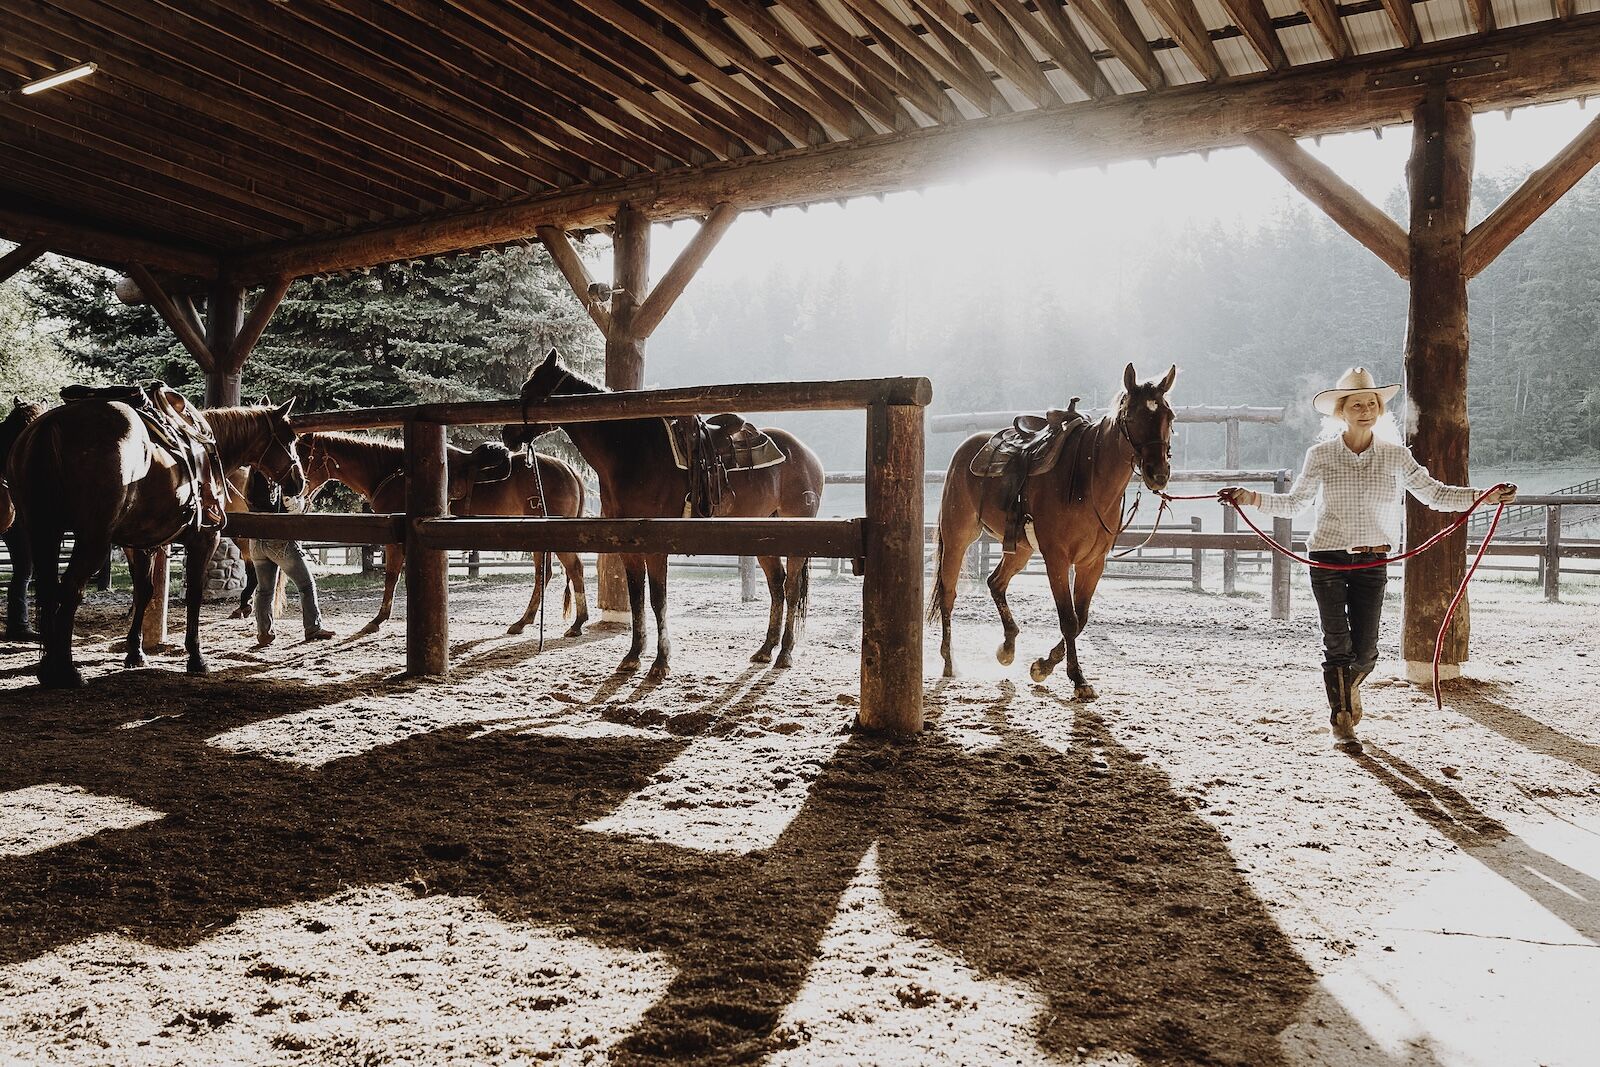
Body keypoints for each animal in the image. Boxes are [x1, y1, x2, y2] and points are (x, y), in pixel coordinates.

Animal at [8, 396, 305, 687]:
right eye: (290, 438)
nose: (299, 481)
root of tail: (53, 424)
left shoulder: (139, 544)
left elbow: (144, 591)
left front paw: (135, 652)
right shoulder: (204, 539)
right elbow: (194, 594)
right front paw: (196, 657)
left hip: (43, 530)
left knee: (49, 589)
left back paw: (48, 667)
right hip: (92, 540)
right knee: (70, 590)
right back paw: (66, 670)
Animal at [294, 431, 588, 633]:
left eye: (302, 456)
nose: (296, 489)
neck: (396, 473)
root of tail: (570, 471)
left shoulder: (395, 540)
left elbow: (391, 577)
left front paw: (378, 619)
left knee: (573, 569)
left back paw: (577, 622)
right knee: (544, 574)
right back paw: (524, 621)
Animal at [499, 351, 825, 684]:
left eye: (529, 389)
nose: (506, 433)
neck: (631, 452)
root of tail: (807, 454)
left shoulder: (656, 543)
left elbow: (658, 599)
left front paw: (661, 662)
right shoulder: (628, 542)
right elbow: (637, 598)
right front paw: (633, 656)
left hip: (796, 532)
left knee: (791, 587)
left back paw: (785, 653)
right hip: (765, 533)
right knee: (776, 585)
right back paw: (766, 649)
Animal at [928, 363, 1177, 700]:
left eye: (1169, 416)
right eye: (1134, 415)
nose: (1158, 474)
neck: (1089, 478)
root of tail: (967, 449)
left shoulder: (1092, 563)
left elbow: (1081, 618)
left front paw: (1043, 666)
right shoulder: (1057, 558)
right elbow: (1068, 619)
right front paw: (1076, 677)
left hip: (1019, 549)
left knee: (995, 582)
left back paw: (1007, 647)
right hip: (957, 537)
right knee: (949, 593)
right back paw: (948, 662)